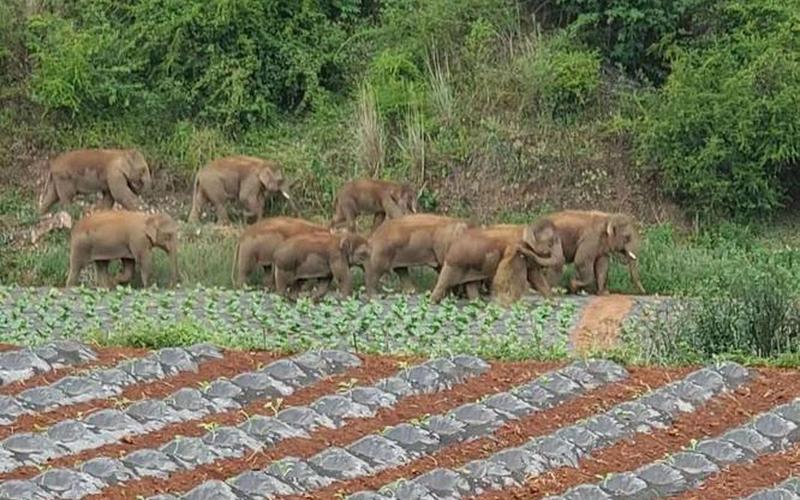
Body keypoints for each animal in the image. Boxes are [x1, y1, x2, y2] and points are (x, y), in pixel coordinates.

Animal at [430, 222, 565, 304]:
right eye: (551, 243)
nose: (520, 249)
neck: (528, 227)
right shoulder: (515, 255)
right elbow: (521, 275)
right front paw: (513, 304)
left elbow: (535, 276)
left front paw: (553, 303)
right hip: (455, 262)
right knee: (443, 283)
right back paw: (432, 302)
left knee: (471, 285)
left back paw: (477, 304)